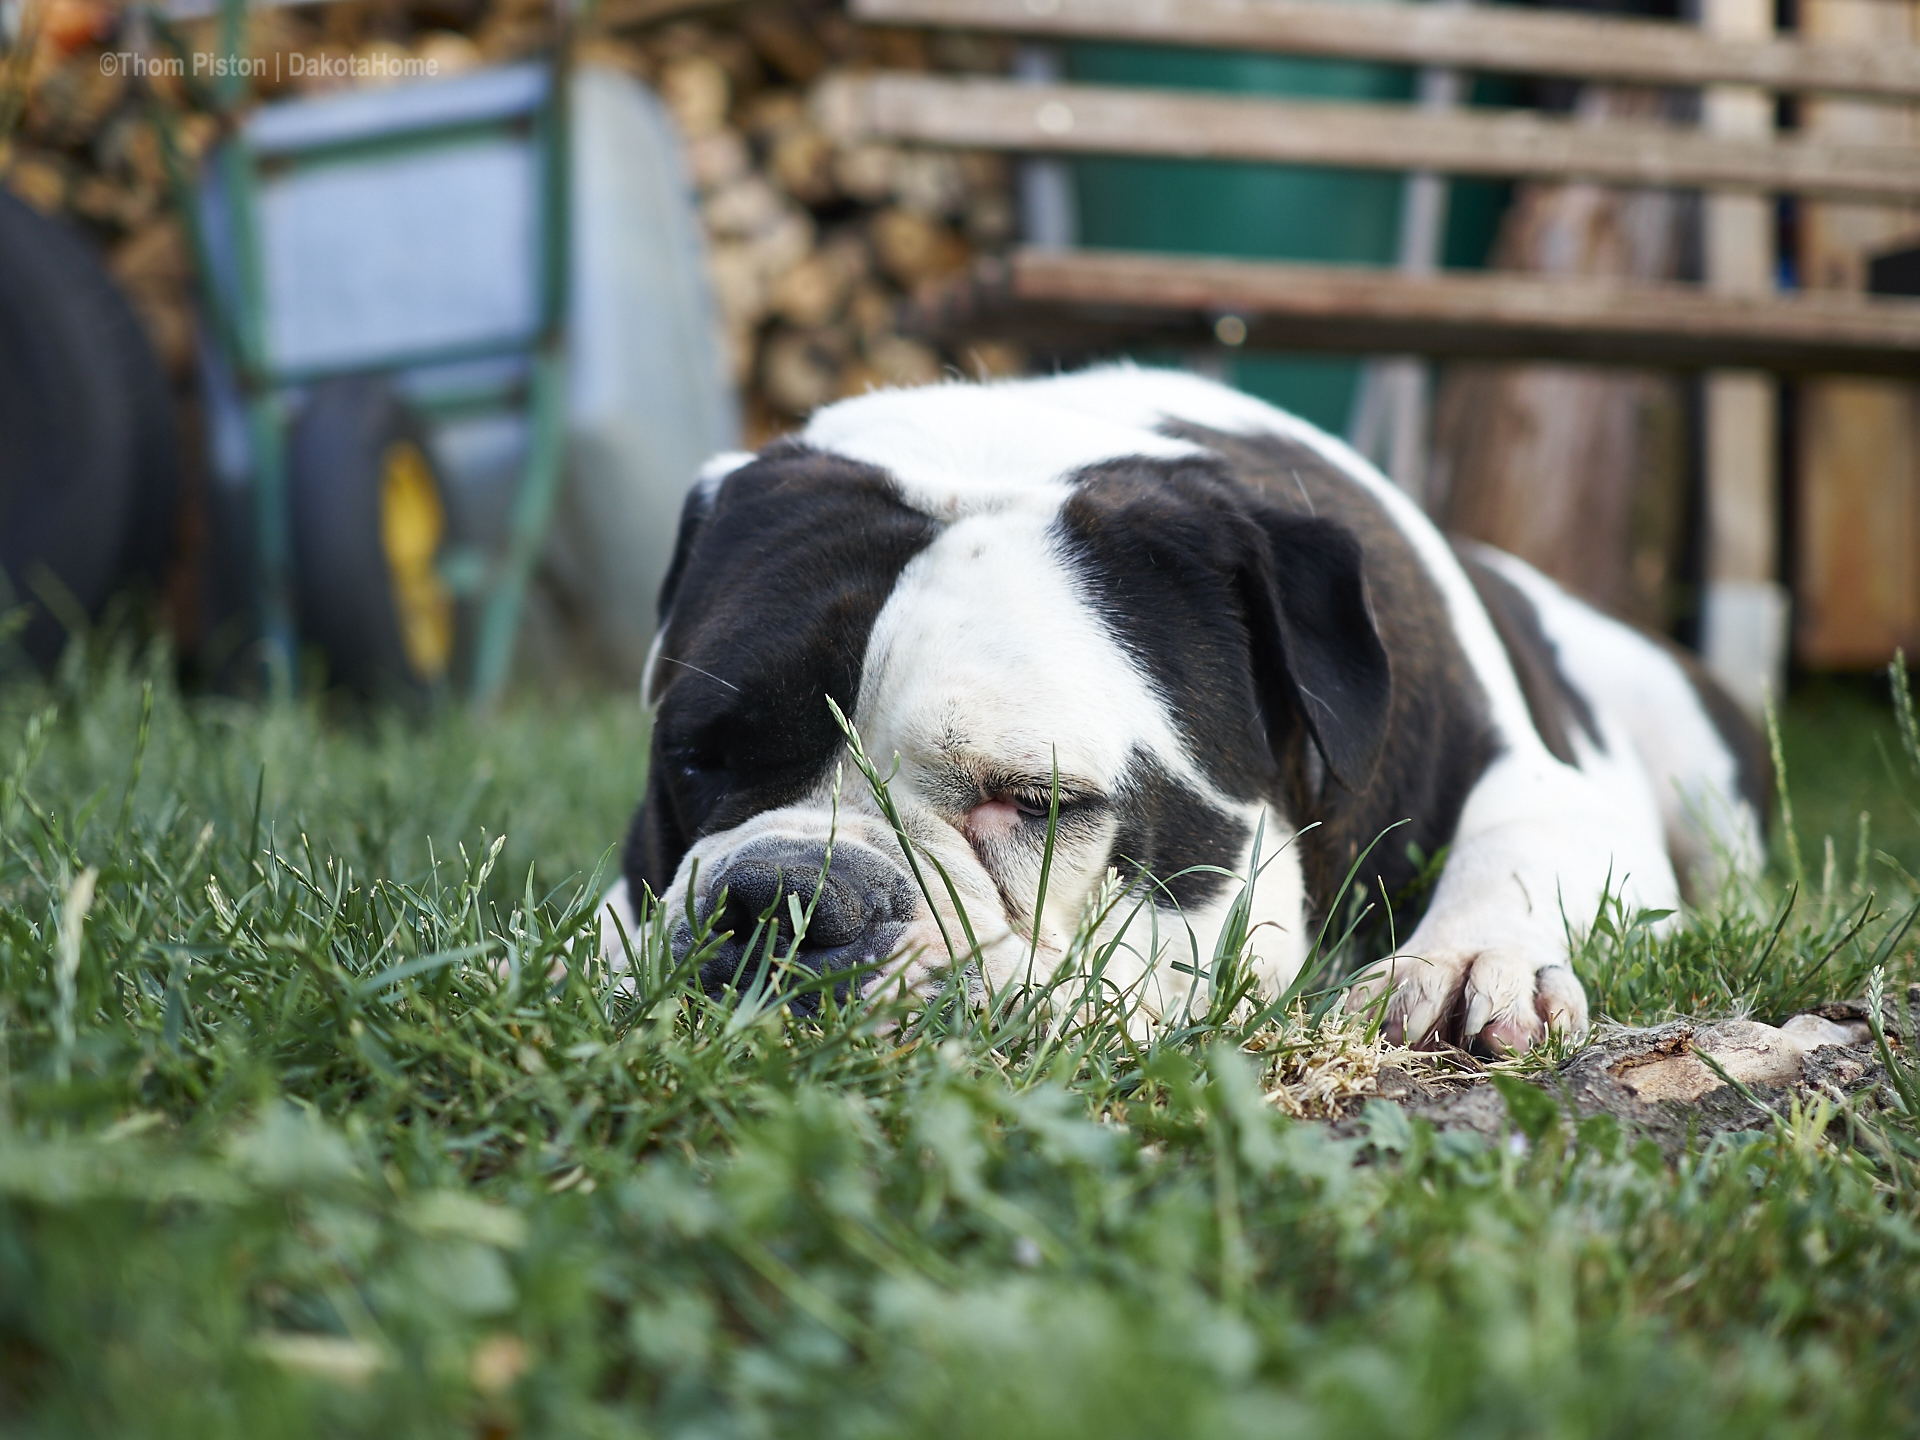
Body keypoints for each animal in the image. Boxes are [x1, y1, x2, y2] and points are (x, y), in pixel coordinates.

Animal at [602, 366, 1766, 1052]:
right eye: (698, 759)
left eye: (1034, 802)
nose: (788, 899)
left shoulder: (1541, 779)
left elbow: (1522, 839)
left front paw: (1469, 961)